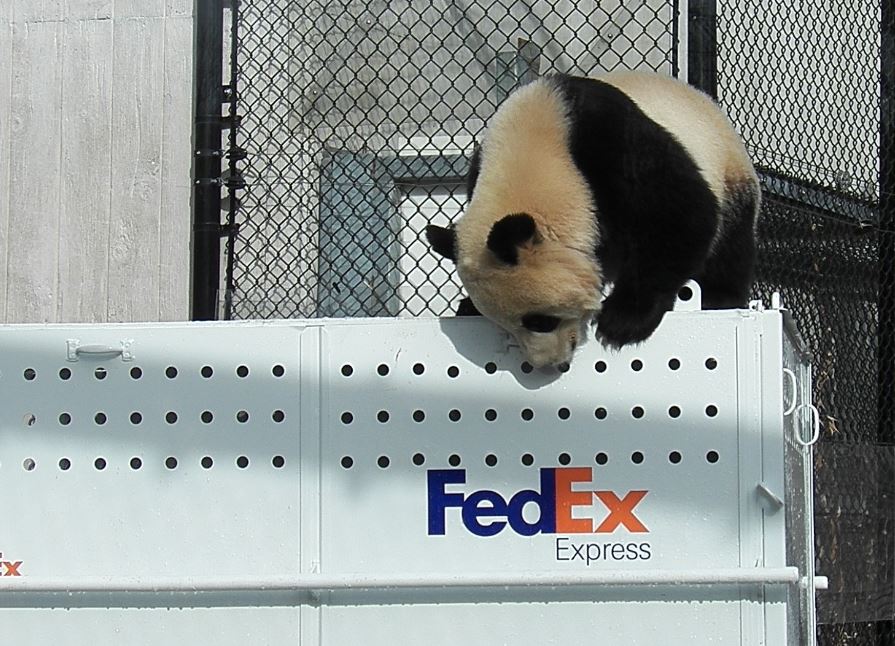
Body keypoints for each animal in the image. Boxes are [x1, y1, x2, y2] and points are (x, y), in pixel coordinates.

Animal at [425, 70, 759, 370]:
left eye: (540, 321)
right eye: (507, 327)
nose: (551, 365)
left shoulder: (611, 141)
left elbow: (679, 214)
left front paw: (623, 321)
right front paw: (467, 306)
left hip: (728, 172)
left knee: (728, 249)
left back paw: (721, 297)